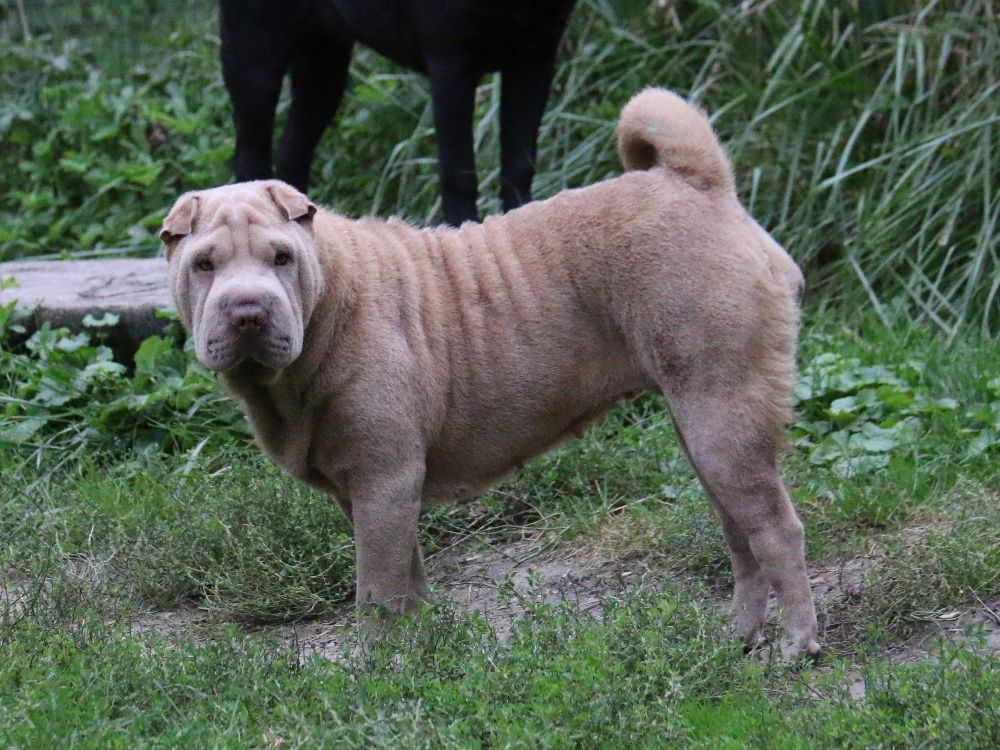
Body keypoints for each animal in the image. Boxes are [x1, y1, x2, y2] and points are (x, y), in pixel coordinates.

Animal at [162, 91, 820, 660]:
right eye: (204, 264)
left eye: (281, 257)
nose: (248, 311)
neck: (327, 307)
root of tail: (698, 182)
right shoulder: (374, 490)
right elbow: (407, 579)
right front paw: (419, 650)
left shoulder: (382, 479)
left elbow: (376, 591)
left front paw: (374, 665)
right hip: (701, 424)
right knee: (742, 535)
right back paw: (737, 640)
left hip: (722, 413)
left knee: (778, 530)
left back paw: (796, 646)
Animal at [222, 0, 576, 226]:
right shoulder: (451, 67)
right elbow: (459, 175)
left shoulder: (535, 60)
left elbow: (519, 168)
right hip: (254, 60)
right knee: (249, 159)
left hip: (323, 65)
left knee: (291, 154)